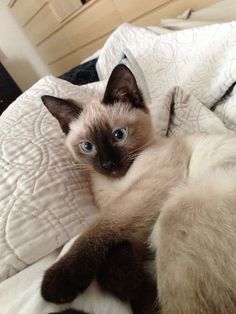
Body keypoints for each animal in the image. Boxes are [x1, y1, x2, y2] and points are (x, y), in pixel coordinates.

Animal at [41, 64, 236, 314]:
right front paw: (123, 277)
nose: (108, 165)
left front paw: (59, 284)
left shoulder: (145, 192)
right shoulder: (133, 224)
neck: (116, 185)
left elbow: (101, 226)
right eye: (87, 146)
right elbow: (118, 246)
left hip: (177, 209)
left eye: (119, 135)